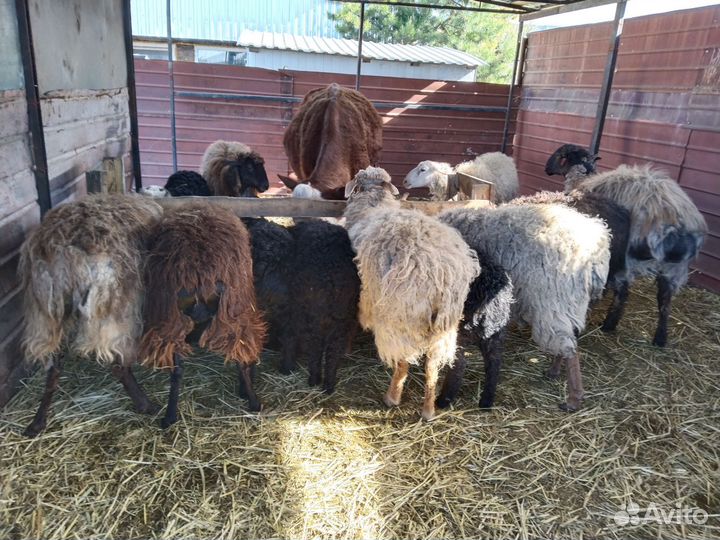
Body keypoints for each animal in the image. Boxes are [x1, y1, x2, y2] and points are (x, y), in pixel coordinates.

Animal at [19, 193, 162, 437]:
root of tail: (63, 248)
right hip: (116, 310)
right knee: (117, 365)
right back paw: (146, 405)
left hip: (47, 314)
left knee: (53, 365)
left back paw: (38, 422)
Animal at [140, 204, 266, 428]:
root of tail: (200, 274)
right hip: (234, 312)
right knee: (240, 355)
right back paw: (253, 401)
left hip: (172, 322)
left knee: (178, 369)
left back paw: (170, 416)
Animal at [343, 166, 480, 420]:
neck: (372, 204)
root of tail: (441, 273)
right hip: (445, 327)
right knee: (432, 367)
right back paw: (428, 410)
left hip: (401, 318)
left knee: (403, 362)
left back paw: (392, 397)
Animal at [439, 202, 611, 411]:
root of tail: (596, 252)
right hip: (570, 306)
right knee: (570, 340)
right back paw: (554, 371)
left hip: (553, 303)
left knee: (569, 348)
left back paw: (573, 398)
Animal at [545, 144, 708, 346]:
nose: (547, 170)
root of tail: (671, 215)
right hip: (675, 267)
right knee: (665, 299)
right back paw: (660, 338)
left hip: (627, 257)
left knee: (623, 293)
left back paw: (608, 324)